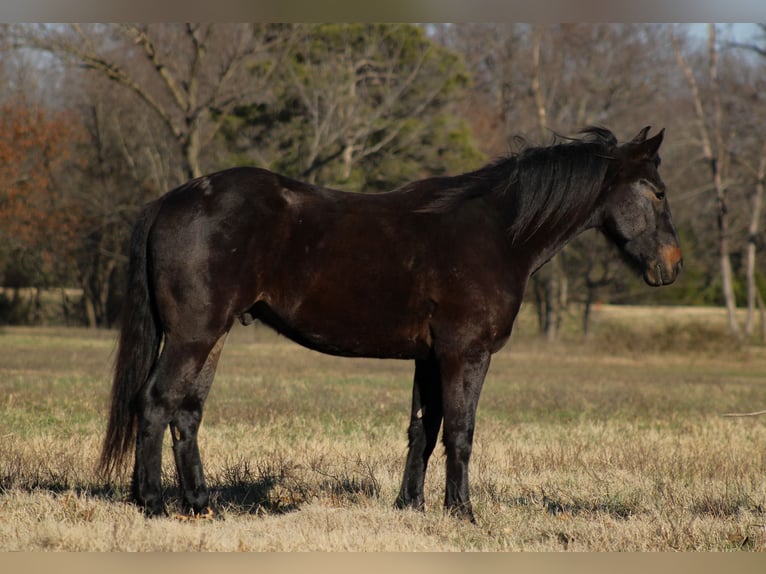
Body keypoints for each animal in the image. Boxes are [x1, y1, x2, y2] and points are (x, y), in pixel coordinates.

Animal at [98, 126, 682, 522]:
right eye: (657, 191)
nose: (672, 267)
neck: (496, 232)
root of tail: (172, 199)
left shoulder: (430, 357)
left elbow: (423, 429)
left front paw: (411, 507)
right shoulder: (465, 353)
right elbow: (461, 432)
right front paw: (462, 512)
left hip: (210, 335)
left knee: (187, 411)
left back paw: (200, 503)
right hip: (194, 336)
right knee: (155, 403)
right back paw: (151, 503)